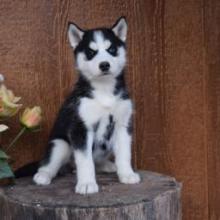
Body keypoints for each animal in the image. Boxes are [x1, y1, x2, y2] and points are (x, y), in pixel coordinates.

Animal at [33, 18, 139, 195]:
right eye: (91, 52)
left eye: (111, 49)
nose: (104, 65)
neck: (104, 90)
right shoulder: (80, 127)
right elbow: (85, 160)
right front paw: (87, 183)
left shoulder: (123, 125)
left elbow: (125, 153)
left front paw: (127, 174)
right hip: (60, 144)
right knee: (50, 163)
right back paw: (43, 175)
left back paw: (107, 165)